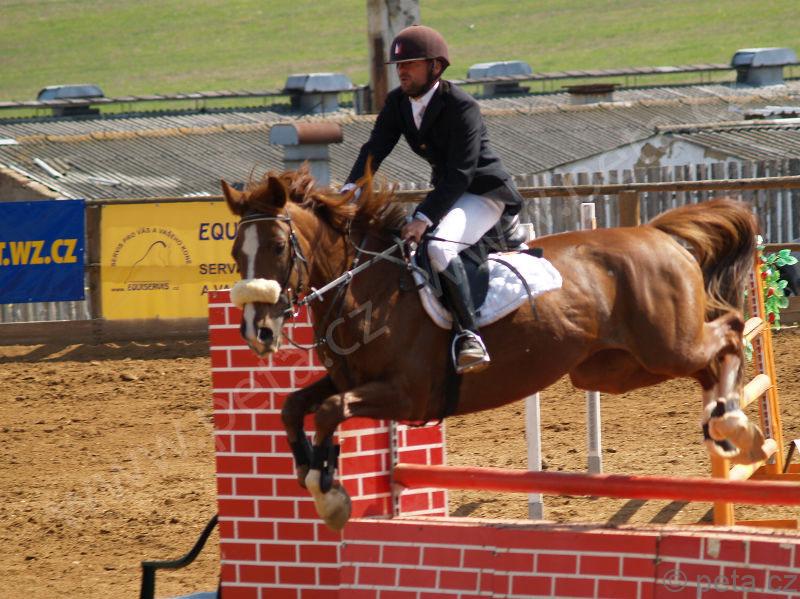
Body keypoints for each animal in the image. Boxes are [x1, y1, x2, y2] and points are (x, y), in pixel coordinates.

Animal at [221, 167, 767, 530]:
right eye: (234, 252)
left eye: (277, 247)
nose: (256, 331)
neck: (365, 287)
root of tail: (656, 233)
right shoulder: (351, 381)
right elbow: (296, 407)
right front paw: (312, 473)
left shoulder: (408, 395)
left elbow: (332, 411)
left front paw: (328, 492)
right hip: (617, 369)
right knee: (710, 364)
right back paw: (729, 426)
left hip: (666, 345)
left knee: (730, 331)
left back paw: (737, 426)